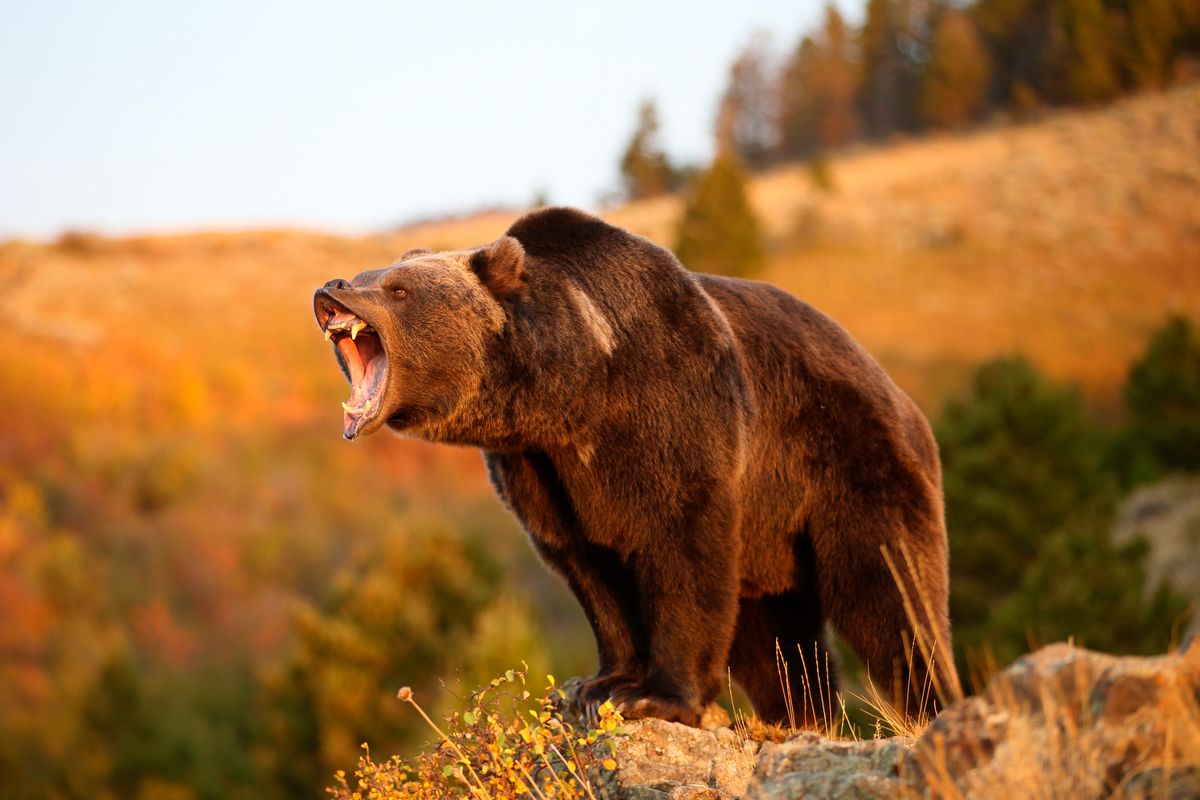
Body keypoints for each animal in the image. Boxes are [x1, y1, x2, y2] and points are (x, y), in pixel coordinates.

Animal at [314, 205, 960, 724]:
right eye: (369, 274)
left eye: (397, 289)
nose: (333, 287)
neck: (576, 391)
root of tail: (900, 395)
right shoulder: (540, 472)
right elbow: (590, 567)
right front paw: (598, 685)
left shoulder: (673, 416)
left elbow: (681, 550)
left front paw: (655, 697)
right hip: (773, 540)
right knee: (776, 641)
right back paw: (801, 716)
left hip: (850, 465)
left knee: (893, 596)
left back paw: (932, 705)